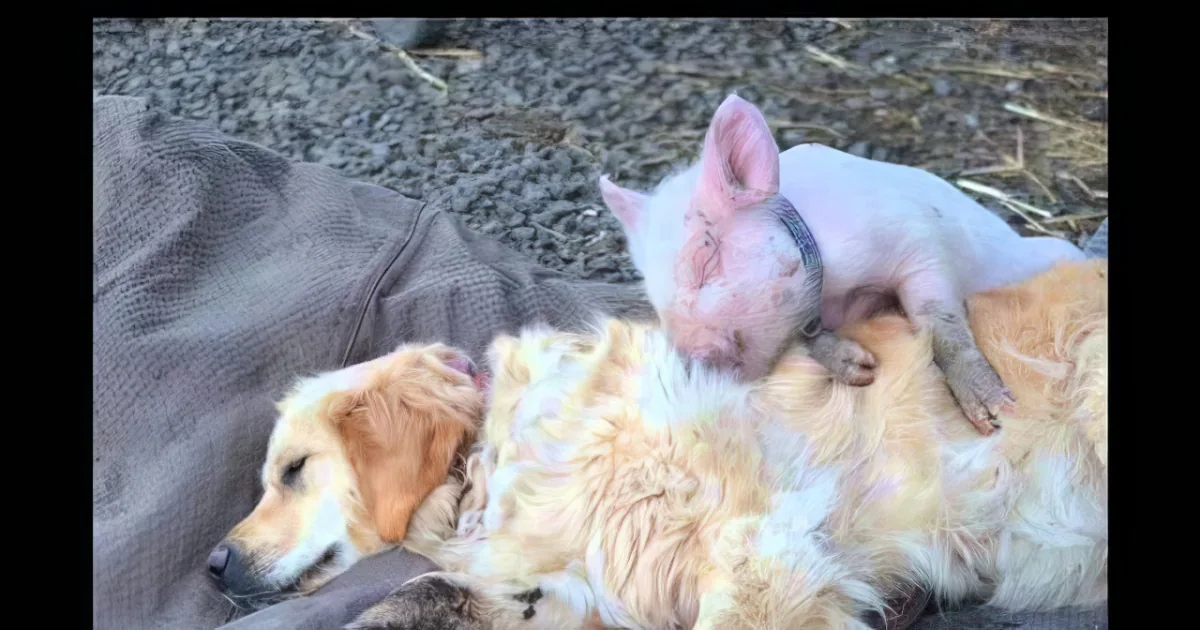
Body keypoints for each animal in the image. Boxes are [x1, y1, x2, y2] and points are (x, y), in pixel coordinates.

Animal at [598, 94, 1086, 435]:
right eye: (651, 295)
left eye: (704, 255)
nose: (689, 364)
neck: (838, 288)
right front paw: (863, 370)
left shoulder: (920, 243)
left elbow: (941, 323)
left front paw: (997, 416)